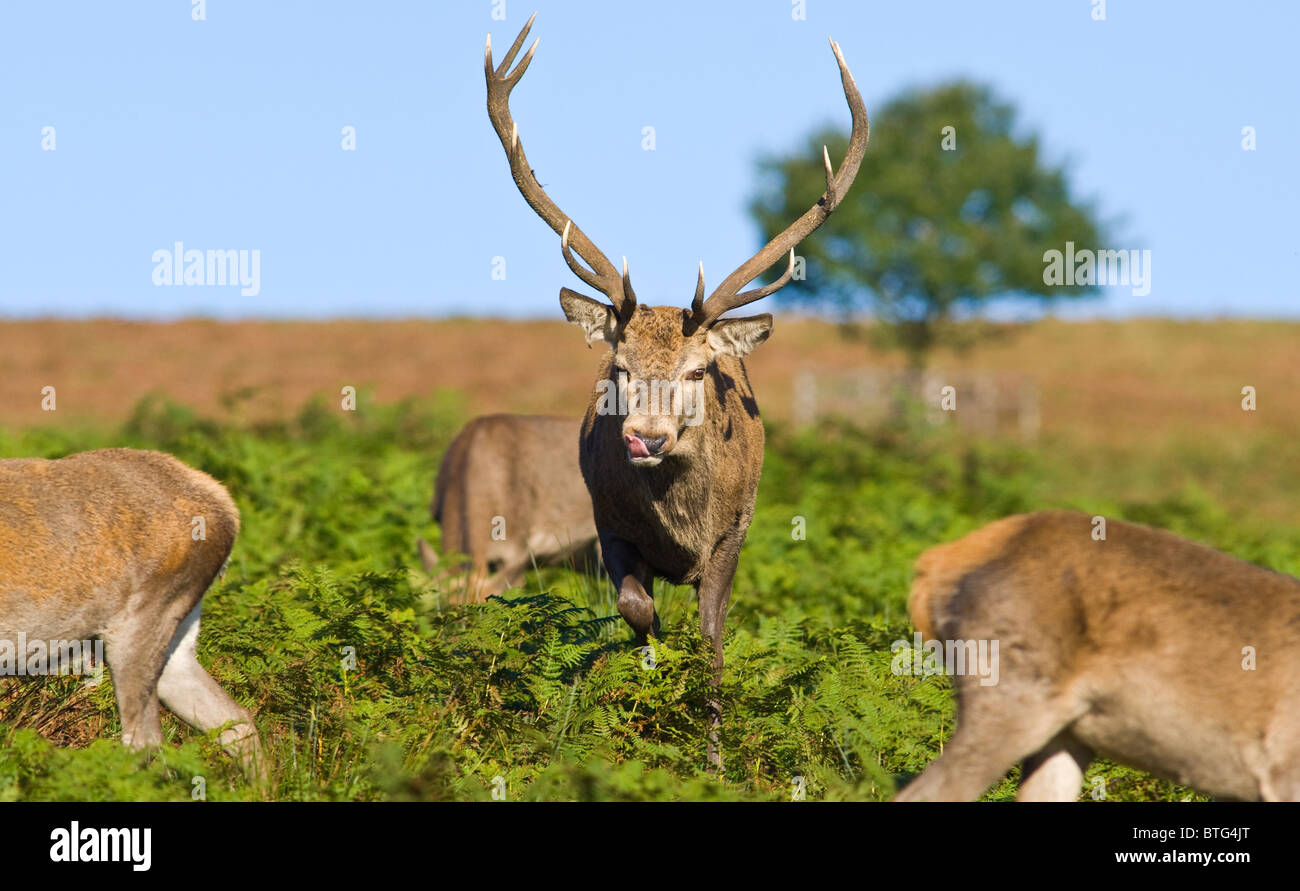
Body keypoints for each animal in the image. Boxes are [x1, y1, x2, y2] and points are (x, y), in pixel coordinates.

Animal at [484, 13, 869, 767]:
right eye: (620, 367)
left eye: (696, 372)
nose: (646, 437)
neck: (681, 526)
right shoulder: (607, 525)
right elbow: (639, 613)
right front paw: (650, 709)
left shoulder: (731, 537)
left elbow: (712, 638)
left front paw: (712, 754)